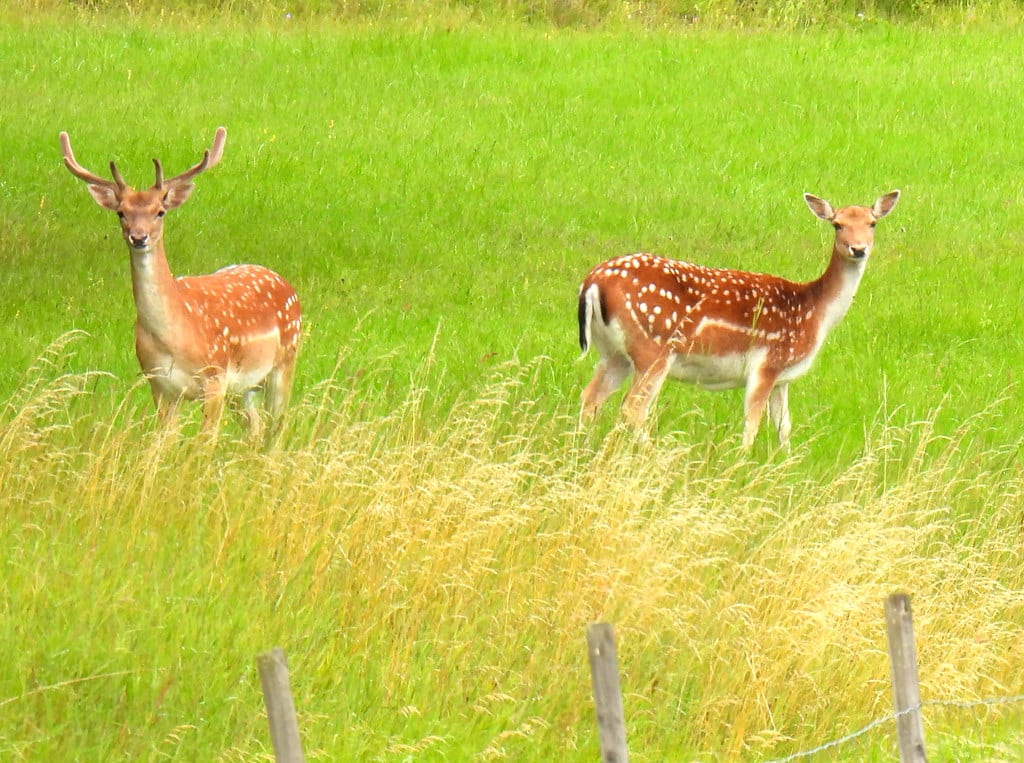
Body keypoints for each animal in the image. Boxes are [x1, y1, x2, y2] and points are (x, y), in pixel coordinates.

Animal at [59, 127, 302, 441]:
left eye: (160, 211)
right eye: (121, 212)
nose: (139, 237)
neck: (173, 338)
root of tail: (284, 282)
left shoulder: (215, 377)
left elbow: (205, 442)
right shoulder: (159, 385)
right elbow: (164, 443)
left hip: (284, 361)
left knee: (277, 428)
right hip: (243, 389)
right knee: (256, 428)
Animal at [577, 190, 900, 449]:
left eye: (872, 223)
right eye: (837, 224)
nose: (858, 249)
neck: (814, 312)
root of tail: (592, 282)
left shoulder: (783, 376)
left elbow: (784, 426)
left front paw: (784, 464)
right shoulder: (766, 363)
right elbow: (752, 423)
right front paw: (742, 463)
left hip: (614, 352)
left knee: (590, 397)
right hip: (653, 346)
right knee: (632, 407)